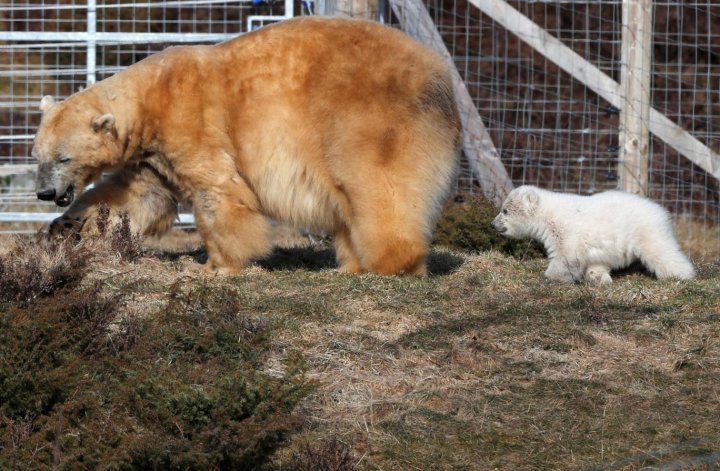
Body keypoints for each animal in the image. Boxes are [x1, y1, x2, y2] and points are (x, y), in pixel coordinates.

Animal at [32, 17, 462, 276]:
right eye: (37, 156)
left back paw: (390, 263)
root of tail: (438, 74)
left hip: (367, 120)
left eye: (63, 157)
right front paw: (64, 228)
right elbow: (138, 198)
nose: (44, 193)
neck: (149, 99)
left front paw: (215, 265)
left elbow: (218, 192)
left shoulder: (190, 122)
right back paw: (349, 264)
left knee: (378, 188)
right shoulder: (151, 156)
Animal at [492, 187, 696, 284]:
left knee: (662, 253)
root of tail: (661, 211)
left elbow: (567, 257)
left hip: (646, 231)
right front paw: (598, 277)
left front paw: (552, 276)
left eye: (505, 210)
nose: (492, 224)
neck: (548, 214)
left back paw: (680, 275)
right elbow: (597, 263)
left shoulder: (566, 231)